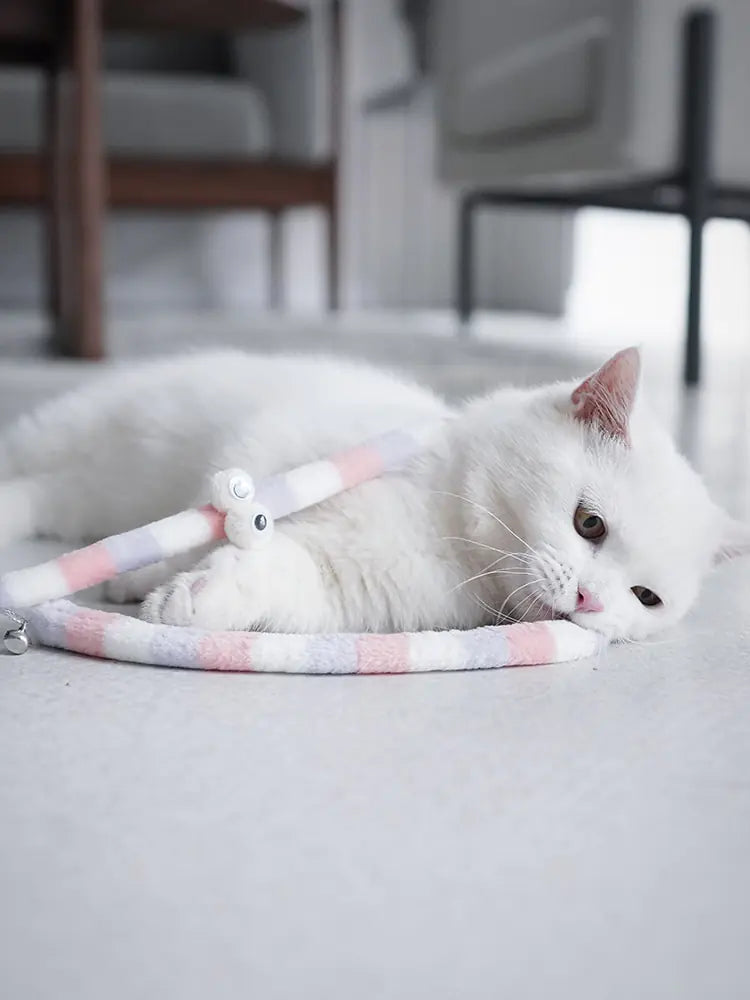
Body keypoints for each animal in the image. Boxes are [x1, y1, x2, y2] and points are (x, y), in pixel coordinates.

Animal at [0, 346, 748, 640]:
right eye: (589, 523)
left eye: (645, 598)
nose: (591, 600)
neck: (452, 542)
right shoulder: (283, 451)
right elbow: (238, 519)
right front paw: (180, 585)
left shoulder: (347, 590)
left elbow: (282, 575)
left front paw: (191, 594)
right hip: (73, 433)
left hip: (87, 492)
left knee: (54, 495)